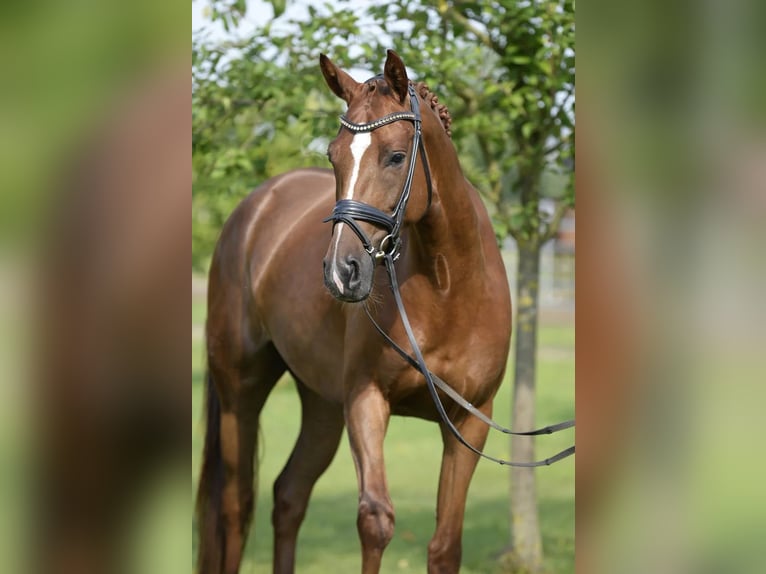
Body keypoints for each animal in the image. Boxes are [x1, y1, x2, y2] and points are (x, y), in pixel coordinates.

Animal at [196, 50, 513, 574]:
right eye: (334, 155)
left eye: (396, 156)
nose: (341, 271)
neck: (449, 287)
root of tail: (256, 206)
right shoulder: (367, 400)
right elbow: (375, 521)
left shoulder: (471, 421)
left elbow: (445, 545)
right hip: (242, 389)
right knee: (235, 506)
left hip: (322, 404)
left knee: (289, 495)